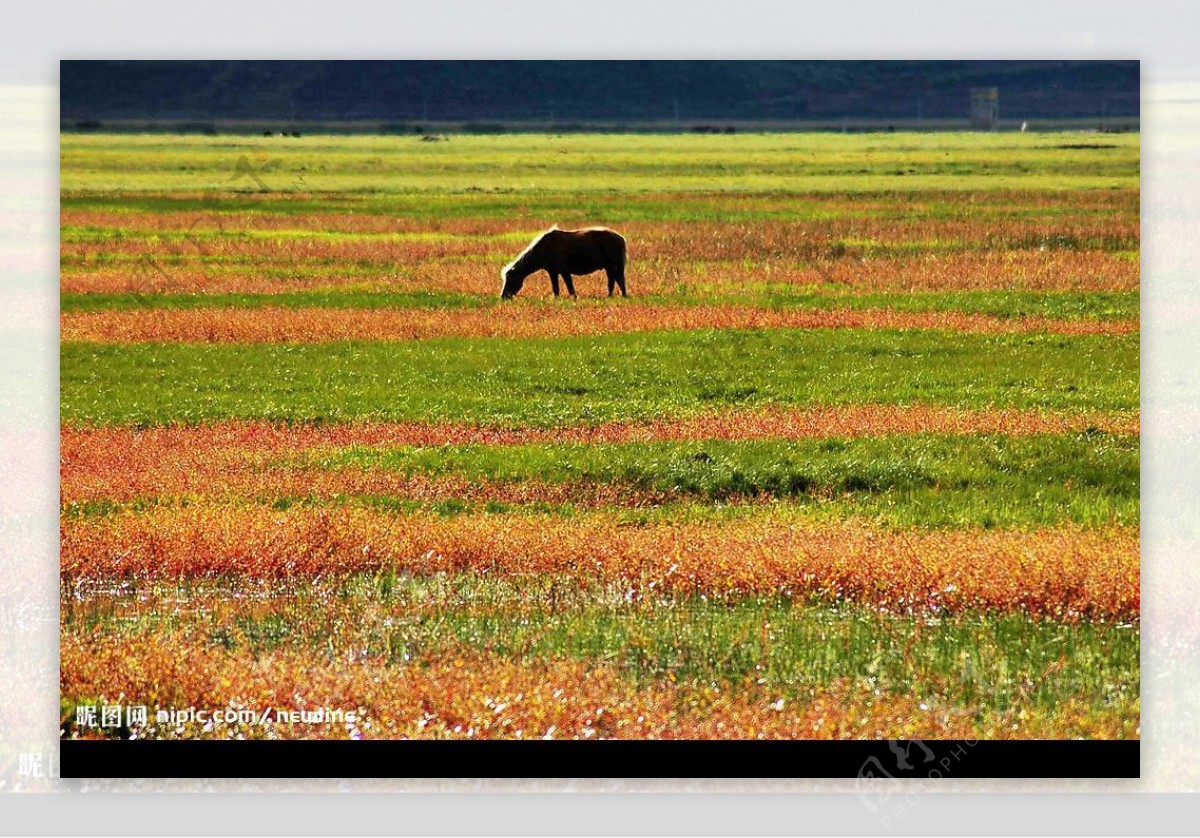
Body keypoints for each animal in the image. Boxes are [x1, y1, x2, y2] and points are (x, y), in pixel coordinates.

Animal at [499, 225, 628, 296]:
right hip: (609, 268)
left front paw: (574, 298)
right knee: (613, 282)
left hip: (614, 266)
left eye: (510, 280)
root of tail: (621, 238)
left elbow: (570, 287)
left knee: (619, 281)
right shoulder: (553, 272)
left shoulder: (565, 271)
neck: (544, 248)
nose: (504, 296)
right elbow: (556, 289)